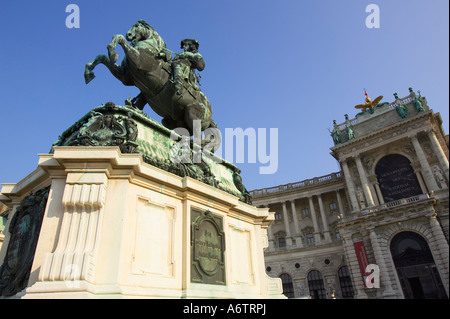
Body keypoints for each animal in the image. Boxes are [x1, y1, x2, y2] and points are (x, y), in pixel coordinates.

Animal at [86, 20, 218, 135]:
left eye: (137, 26)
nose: (129, 35)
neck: (153, 50)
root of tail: (210, 114)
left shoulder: (139, 61)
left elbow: (120, 38)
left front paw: (113, 53)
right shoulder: (125, 77)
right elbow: (102, 57)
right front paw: (88, 71)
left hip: (192, 114)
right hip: (170, 121)